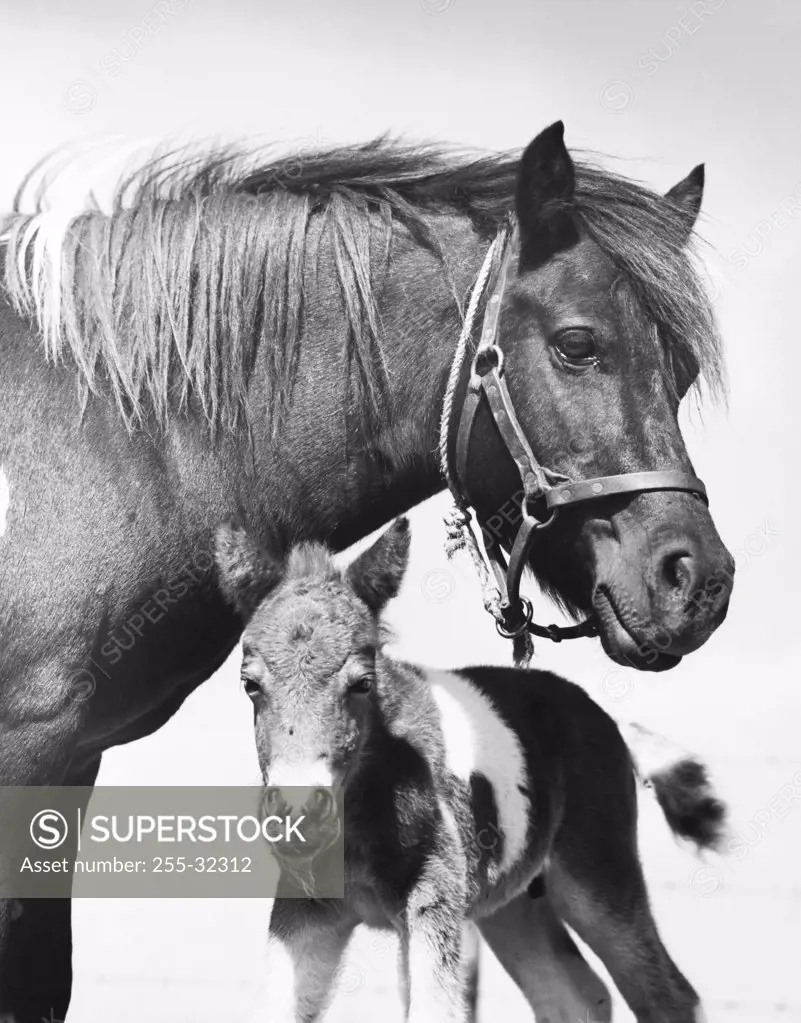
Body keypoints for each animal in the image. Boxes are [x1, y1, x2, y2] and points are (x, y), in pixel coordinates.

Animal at [212, 519, 728, 1023]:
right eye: (250, 685)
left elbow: (433, 1011)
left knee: (667, 997)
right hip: (513, 903)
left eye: (362, 684)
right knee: (573, 994)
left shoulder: (433, 897)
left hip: (598, 871)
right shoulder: (306, 908)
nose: (299, 815)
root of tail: (609, 720)